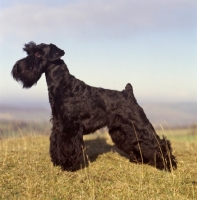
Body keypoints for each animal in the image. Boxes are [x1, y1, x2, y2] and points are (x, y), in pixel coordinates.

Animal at [11, 41, 177, 171]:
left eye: (38, 54)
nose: (17, 67)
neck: (63, 85)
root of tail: (128, 92)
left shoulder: (70, 125)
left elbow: (68, 145)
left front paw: (69, 165)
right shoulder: (58, 123)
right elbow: (56, 142)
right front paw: (58, 162)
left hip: (139, 125)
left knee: (159, 142)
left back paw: (168, 164)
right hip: (121, 130)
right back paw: (139, 160)